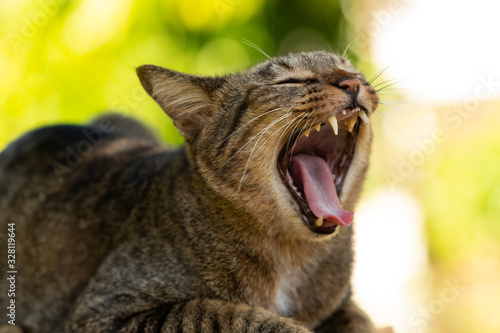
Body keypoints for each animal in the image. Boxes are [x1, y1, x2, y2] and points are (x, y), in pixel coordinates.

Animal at [0, 50, 376, 332]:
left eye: (349, 68)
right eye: (291, 81)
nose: (351, 81)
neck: (291, 255)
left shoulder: (344, 302)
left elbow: (359, 321)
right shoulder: (101, 313)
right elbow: (220, 313)